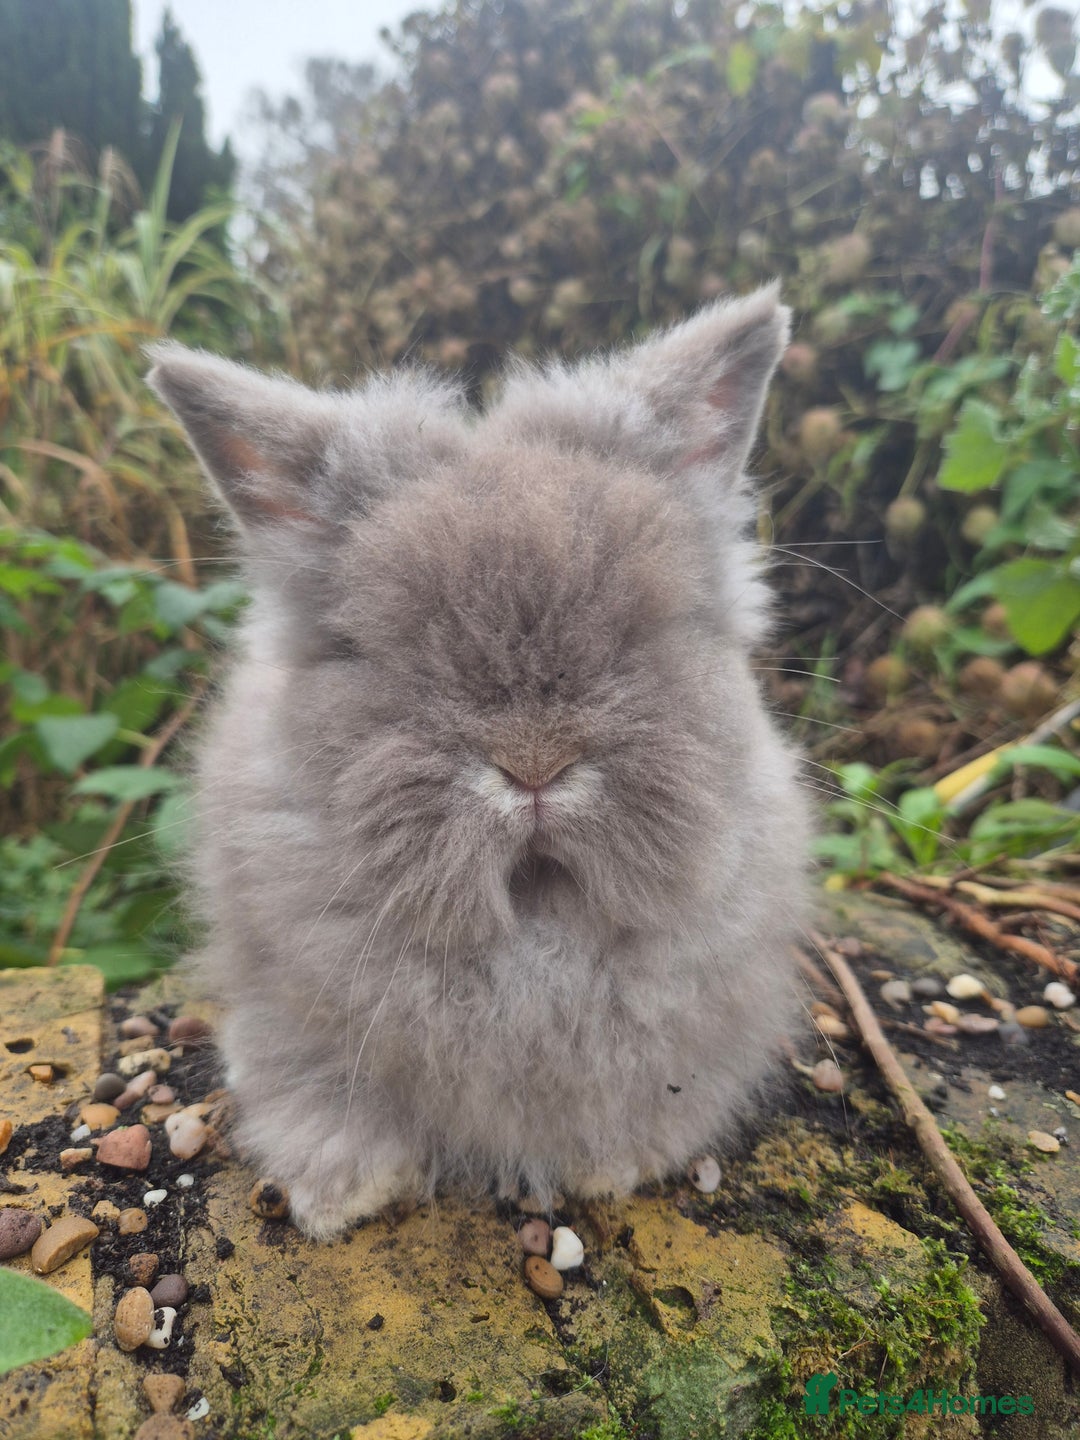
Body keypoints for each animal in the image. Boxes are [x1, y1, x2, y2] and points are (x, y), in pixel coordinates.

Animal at [147, 281, 810, 1241]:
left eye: (643, 636)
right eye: (378, 652)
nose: (534, 765)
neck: (533, 929)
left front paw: (612, 1168)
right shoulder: (288, 1008)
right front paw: (336, 1197)